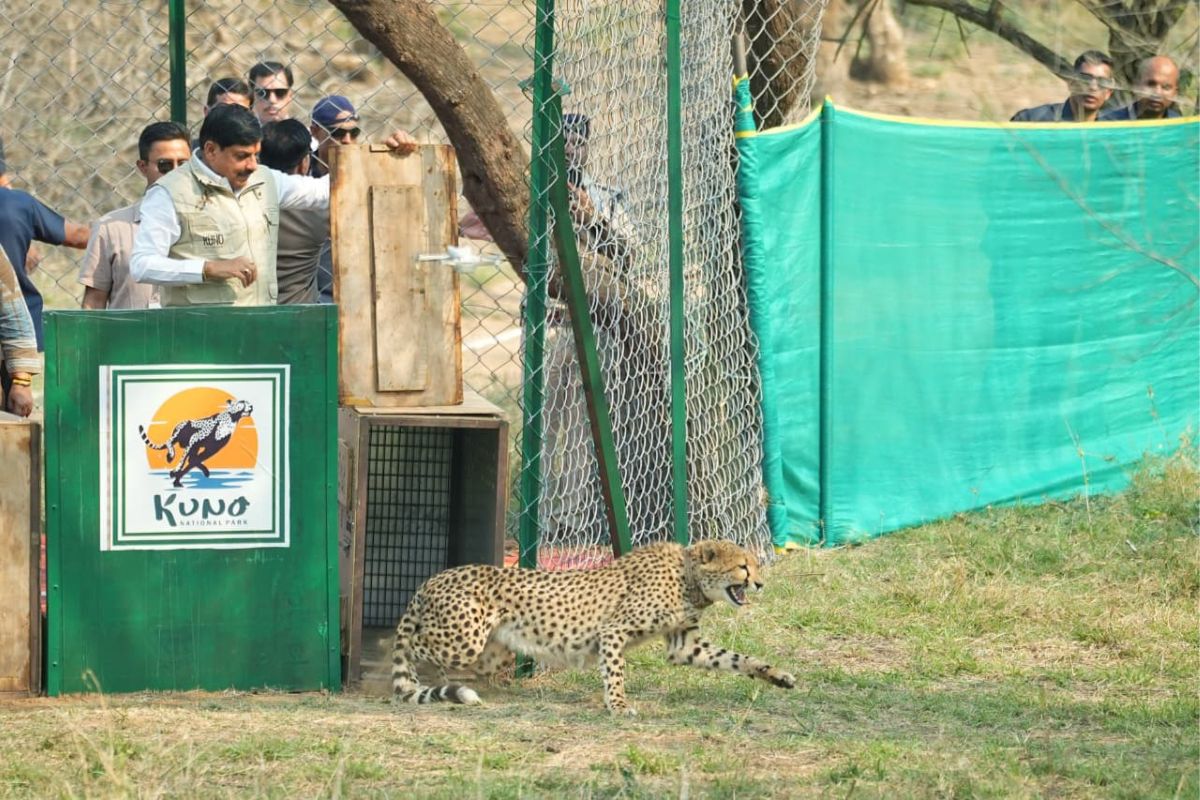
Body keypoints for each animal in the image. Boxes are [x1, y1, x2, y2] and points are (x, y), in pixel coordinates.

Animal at [390, 538, 795, 715]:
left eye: (755, 565)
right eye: (743, 567)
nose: (761, 584)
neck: (688, 577)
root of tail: (433, 578)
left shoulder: (685, 645)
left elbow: (737, 659)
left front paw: (776, 675)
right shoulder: (613, 631)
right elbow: (615, 672)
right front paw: (618, 705)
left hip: (490, 650)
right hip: (464, 640)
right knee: (411, 642)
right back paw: (415, 675)